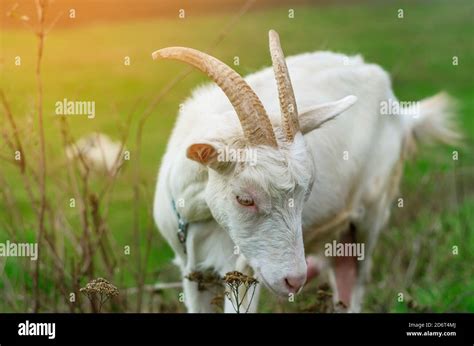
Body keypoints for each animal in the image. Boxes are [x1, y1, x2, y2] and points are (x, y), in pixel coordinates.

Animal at [152, 29, 460, 312]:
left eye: (304, 196)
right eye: (245, 199)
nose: (294, 280)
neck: (194, 211)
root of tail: (400, 110)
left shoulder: (243, 270)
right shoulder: (192, 273)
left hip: (371, 214)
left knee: (355, 280)